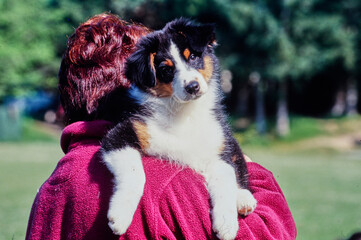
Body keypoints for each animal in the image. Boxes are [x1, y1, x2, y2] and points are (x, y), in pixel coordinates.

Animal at [100, 19, 255, 240]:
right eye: (166, 69)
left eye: (193, 57)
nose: (192, 87)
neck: (184, 113)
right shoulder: (121, 134)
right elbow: (135, 174)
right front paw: (120, 216)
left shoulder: (218, 150)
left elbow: (225, 180)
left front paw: (226, 224)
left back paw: (243, 199)